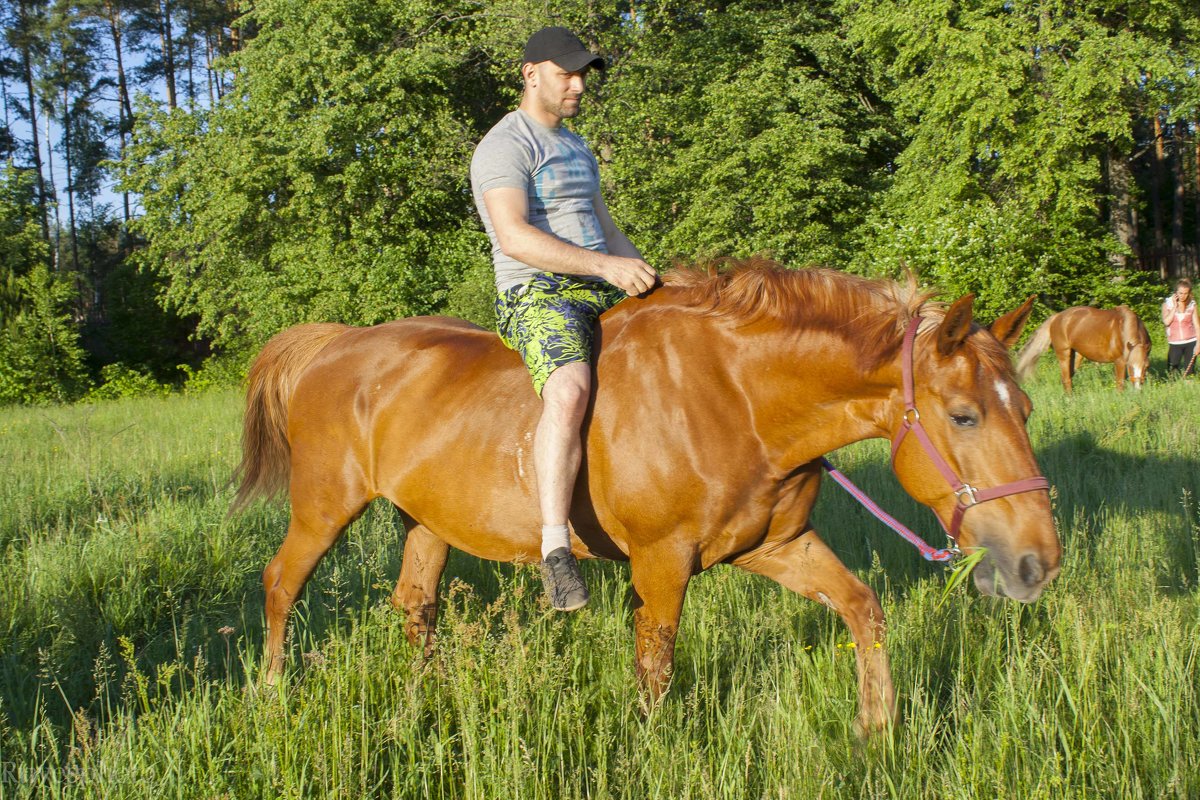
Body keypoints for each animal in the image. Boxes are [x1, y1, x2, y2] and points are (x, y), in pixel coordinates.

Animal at [231, 260, 1060, 734]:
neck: (738, 398)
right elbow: (656, 668)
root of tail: (337, 343)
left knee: (414, 606)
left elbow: (864, 610)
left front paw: (875, 730)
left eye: (1026, 408)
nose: (1038, 563)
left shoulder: (776, 547)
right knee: (281, 584)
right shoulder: (661, 563)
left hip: (427, 521)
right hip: (324, 508)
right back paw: (270, 694)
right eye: (965, 416)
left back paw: (426, 699)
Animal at [1012, 304, 1152, 393]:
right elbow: (1120, 384)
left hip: (1076, 355)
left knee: (1068, 377)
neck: (1123, 328)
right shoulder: (1120, 362)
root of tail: (1057, 317)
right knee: (1066, 379)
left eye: (1146, 366)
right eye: (1130, 366)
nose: (1138, 389)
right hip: (1064, 354)